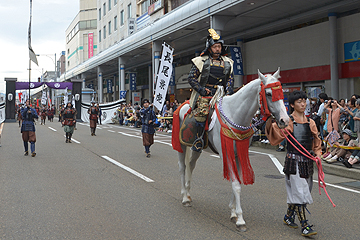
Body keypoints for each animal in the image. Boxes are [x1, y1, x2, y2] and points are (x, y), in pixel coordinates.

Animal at [175, 67, 290, 231]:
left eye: (281, 92)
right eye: (268, 94)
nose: (285, 120)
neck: (235, 115)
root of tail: (183, 104)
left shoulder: (238, 154)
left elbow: (238, 182)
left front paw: (233, 212)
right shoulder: (227, 154)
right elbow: (236, 185)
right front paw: (240, 219)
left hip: (197, 148)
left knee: (191, 165)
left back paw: (189, 194)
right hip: (182, 146)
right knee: (182, 167)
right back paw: (184, 197)